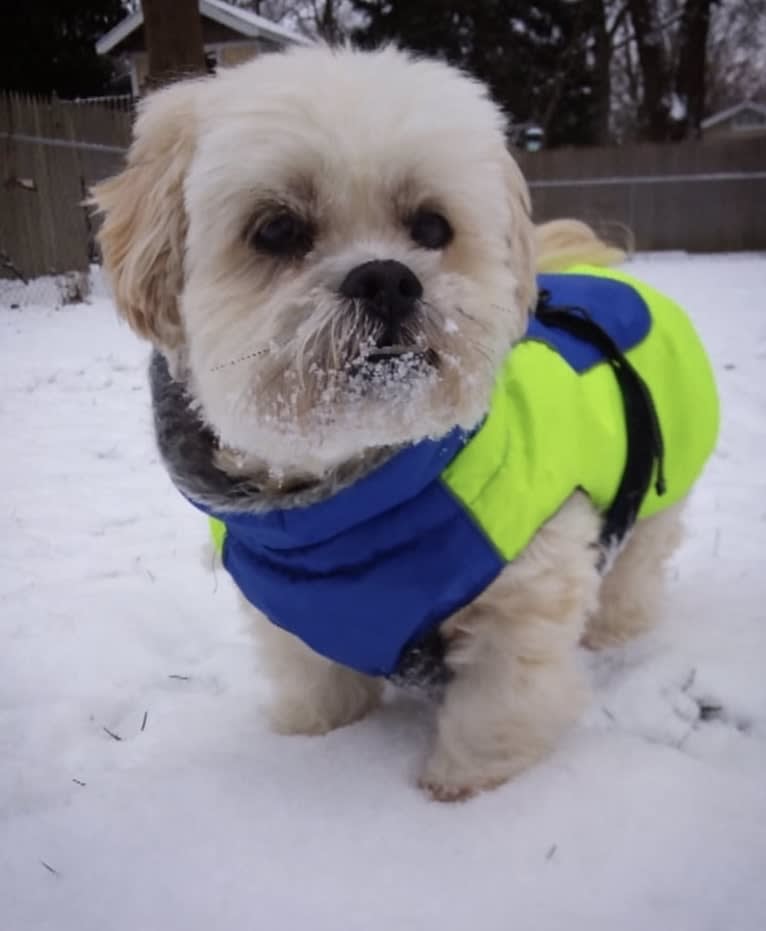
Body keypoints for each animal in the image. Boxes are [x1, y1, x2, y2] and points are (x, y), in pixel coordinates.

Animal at [91, 45, 720, 800]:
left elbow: (495, 707)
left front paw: (459, 788)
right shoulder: (300, 620)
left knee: (635, 571)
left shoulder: (525, 597)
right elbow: (319, 686)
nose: (386, 278)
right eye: (277, 229)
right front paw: (312, 738)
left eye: (431, 227)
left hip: (654, 500)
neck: (353, 507)